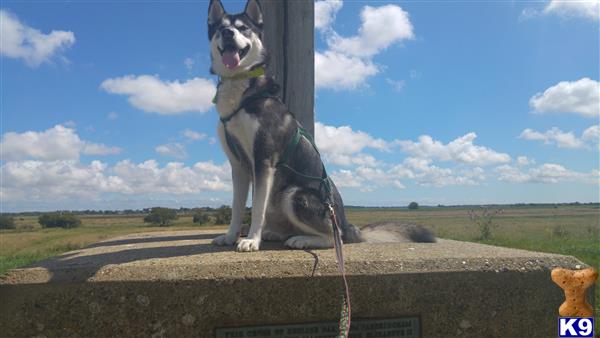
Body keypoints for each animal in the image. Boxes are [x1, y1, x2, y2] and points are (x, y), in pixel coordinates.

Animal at [209, 0, 434, 251]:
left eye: (243, 28)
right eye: (220, 28)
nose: (228, 33)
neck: (242, 93)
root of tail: (346, 224)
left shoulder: (264, 160)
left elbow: (257, 208)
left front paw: (251, 239)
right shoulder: (238, 165)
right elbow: (237, 208)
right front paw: (230, 236)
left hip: (294, 195)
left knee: (335, 238)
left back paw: (301, 239)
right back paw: (277, 233)